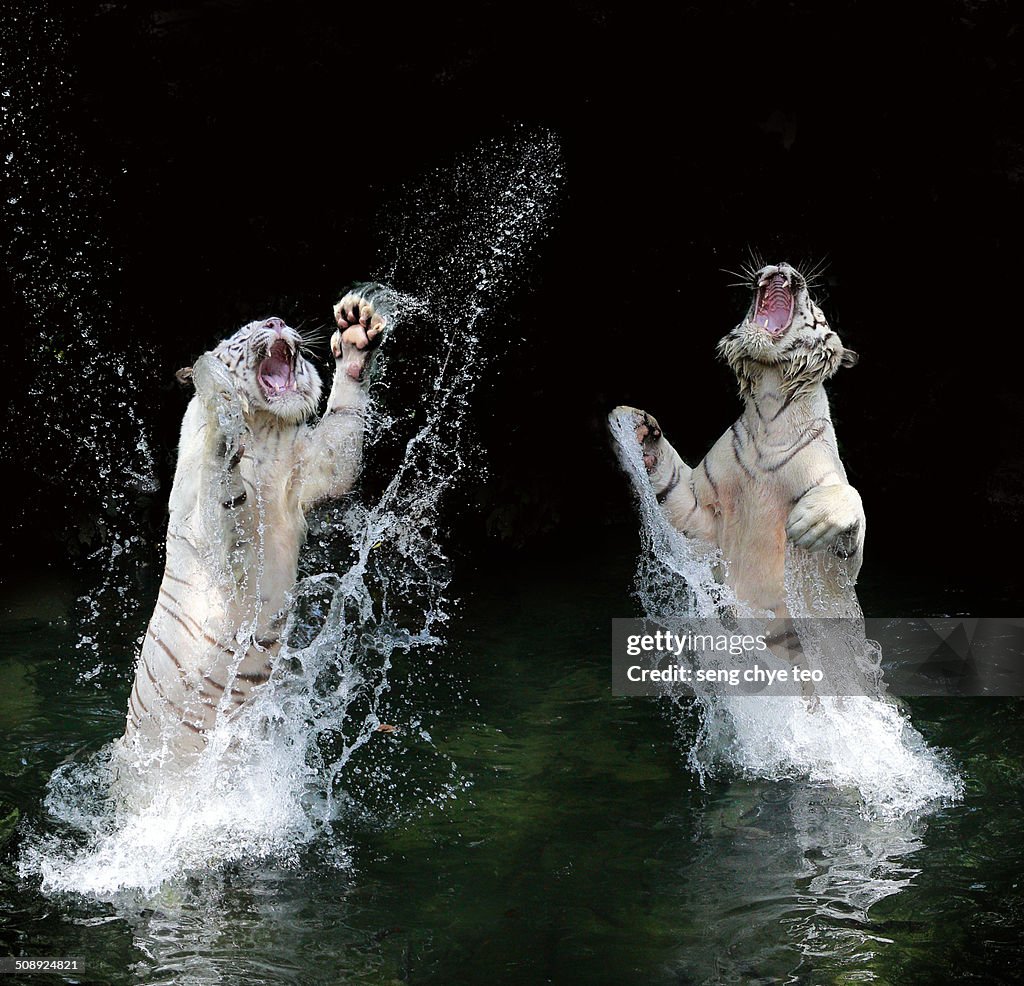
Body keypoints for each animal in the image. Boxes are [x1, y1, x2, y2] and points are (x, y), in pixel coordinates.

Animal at [120, 287, 386, 770]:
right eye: (246, 333)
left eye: (274, 321)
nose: (277, 322)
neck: (266, 430)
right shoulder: (214, 534)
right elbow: (223, 487)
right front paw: (217, 397)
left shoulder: (313, 467)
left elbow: (343, 425)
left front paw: (355, 333)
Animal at [611, 262, 864, 619]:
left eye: (816, 304)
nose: (782, 264)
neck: (771, 408)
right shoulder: (703, 519)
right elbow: (675, 492)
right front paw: (642, 436)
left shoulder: (834, 566)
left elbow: (850, 499)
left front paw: (811, 521)